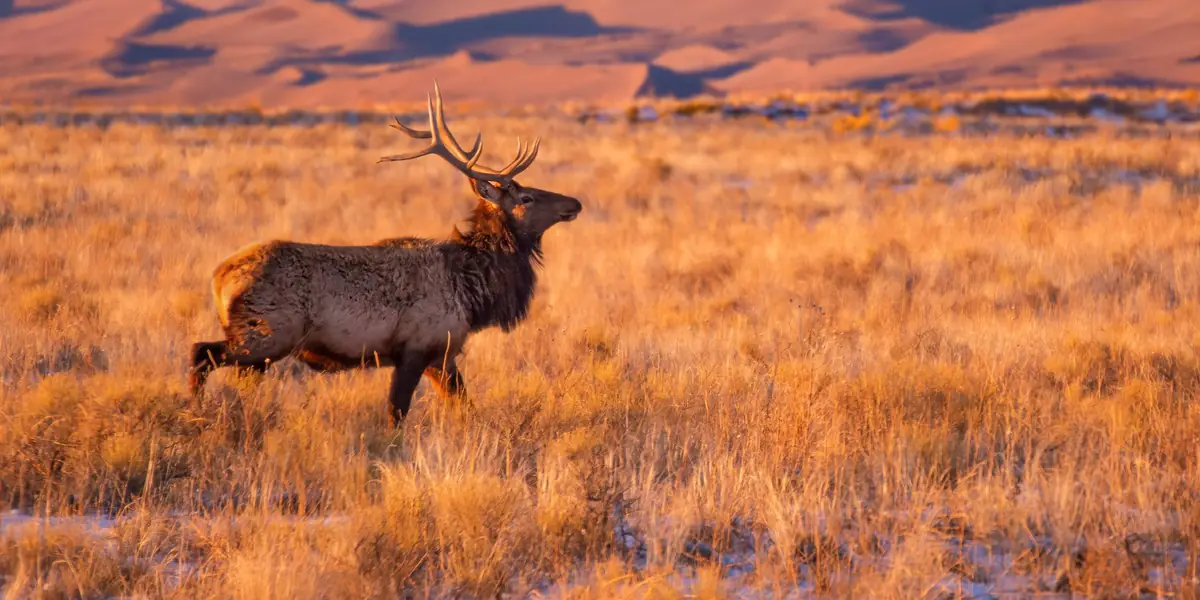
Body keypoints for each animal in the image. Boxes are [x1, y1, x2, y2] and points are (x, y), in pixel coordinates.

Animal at [187, 83, 583, 427]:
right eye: (526, 197)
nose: (575, 202)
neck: (472, 290)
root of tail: (218, 278)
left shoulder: (442, 356)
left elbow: (465, 406)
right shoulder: (415, 348)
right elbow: (396, 413)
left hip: (260, 349)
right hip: (266, 334)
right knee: (201, 352)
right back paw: (194, 411)